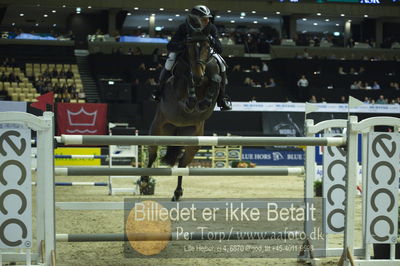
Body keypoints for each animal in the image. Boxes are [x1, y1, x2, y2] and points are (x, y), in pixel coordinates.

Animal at [138, 15, 222, 202]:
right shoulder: (178, 95)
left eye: (207, 46)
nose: (198, 75)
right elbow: (187, 81)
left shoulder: (212, 77)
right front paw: (192, 97)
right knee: (152, 154)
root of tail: (177, 130)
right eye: (189, 47)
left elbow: (215, 79)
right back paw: (145, 181)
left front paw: (204, 101)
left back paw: (177, 193)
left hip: (192, 141)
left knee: (183, 164)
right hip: (158, 131)